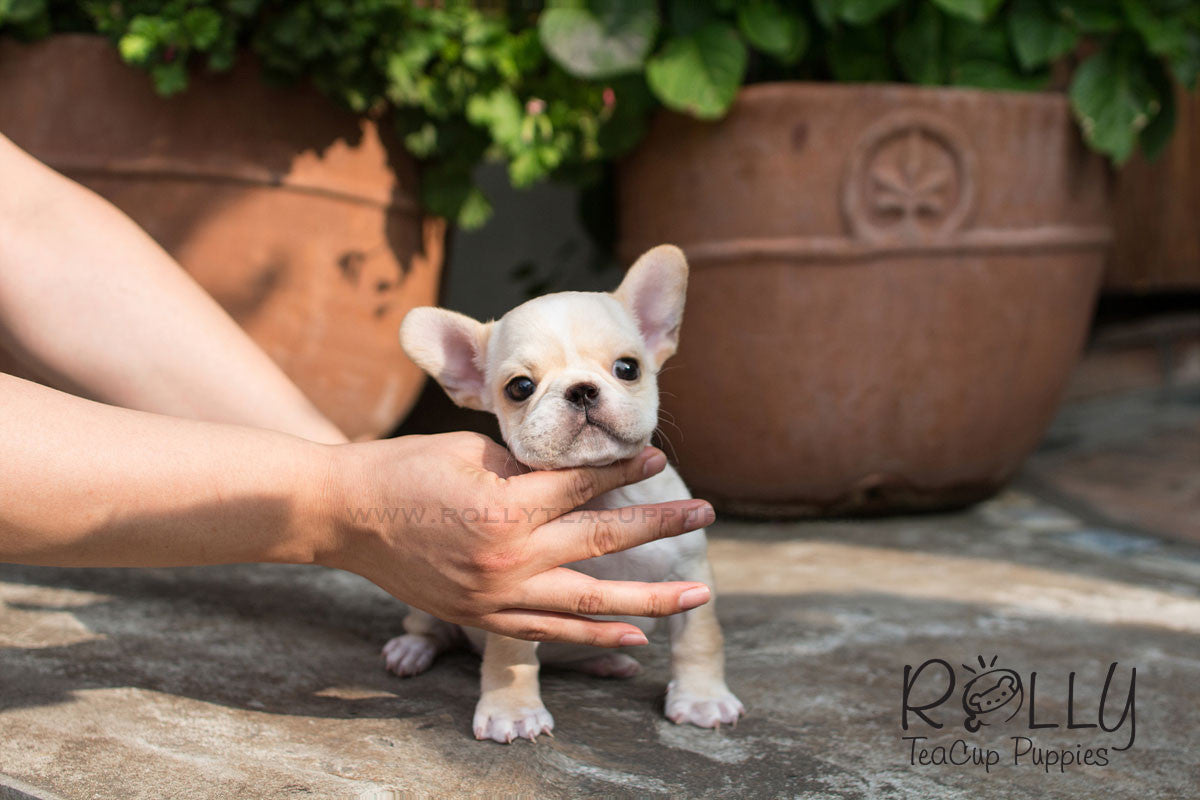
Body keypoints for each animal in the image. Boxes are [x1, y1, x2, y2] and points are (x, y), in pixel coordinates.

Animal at [384, 245, 739, 743]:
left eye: (627, 368)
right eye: (520, 387)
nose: (581, 390)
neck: (600, 501)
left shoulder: (692, 576)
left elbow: (701, 640)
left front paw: (702, 698)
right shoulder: (514, 594)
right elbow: (511, 659)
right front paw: (513, 711)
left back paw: (609, 661)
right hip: (424, 596)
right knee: (428, 626)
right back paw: (412, 650)